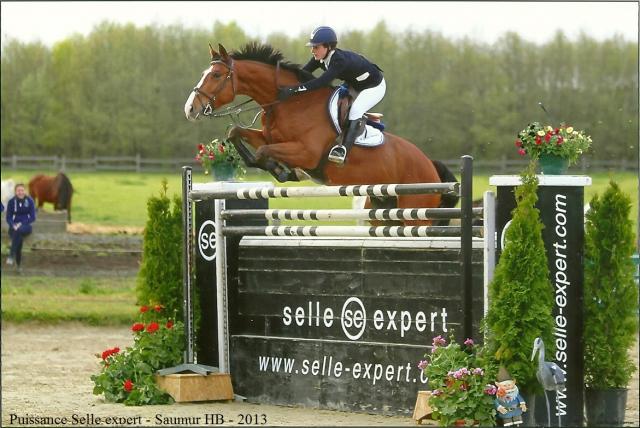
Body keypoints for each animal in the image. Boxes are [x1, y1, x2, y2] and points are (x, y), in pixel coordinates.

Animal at [184, 43, 459, 225]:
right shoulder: (271, 137)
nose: (190, 109)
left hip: (416, 213)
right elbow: (235, 132)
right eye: (205, 74)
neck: (290, 103)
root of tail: (431, 167)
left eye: (216, 75)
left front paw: (284, 171)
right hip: (382, 211)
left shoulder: (306, 152)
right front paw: (279, 169)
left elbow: (262, 151)